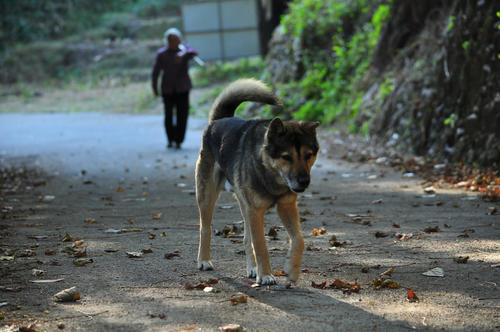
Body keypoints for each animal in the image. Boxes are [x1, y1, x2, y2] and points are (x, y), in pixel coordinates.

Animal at [193, 78, 318, 286]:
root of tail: (217, 121)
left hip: (245, 205)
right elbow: (261, 246)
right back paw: (204, 260)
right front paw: (266, 275)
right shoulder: (256, 211)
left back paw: (252, 268)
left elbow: (299, 239)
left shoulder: (286, 206)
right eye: (286, 157)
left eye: (308, 155)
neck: (268, 170)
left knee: (246, 238)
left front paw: (292, 269)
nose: (304, 182)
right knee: (206, 228)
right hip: (208, 196)